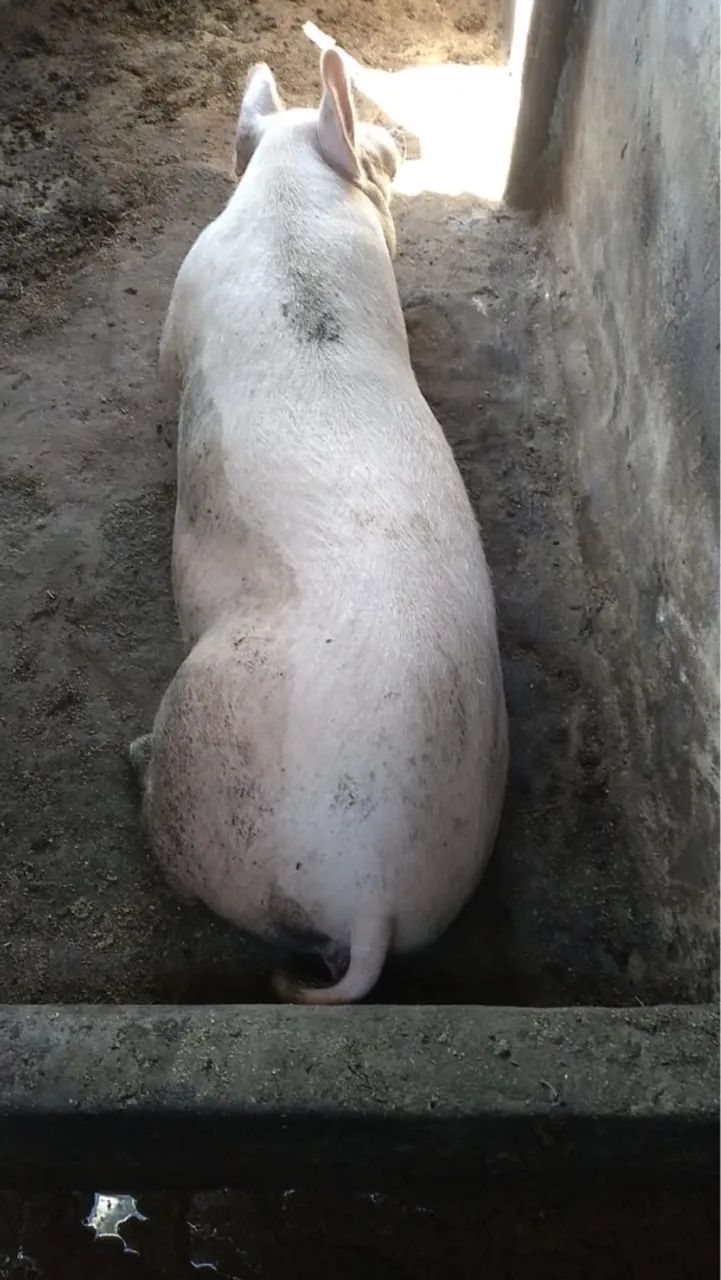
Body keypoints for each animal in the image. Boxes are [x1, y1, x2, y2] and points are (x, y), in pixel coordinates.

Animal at [130, 49, 508, 1004]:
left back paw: (134, 753)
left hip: (213, 735)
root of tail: (371, 897)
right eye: (373, 154)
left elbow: (164, 364)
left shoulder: (181, 298)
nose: (396, 139)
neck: (287, 203)